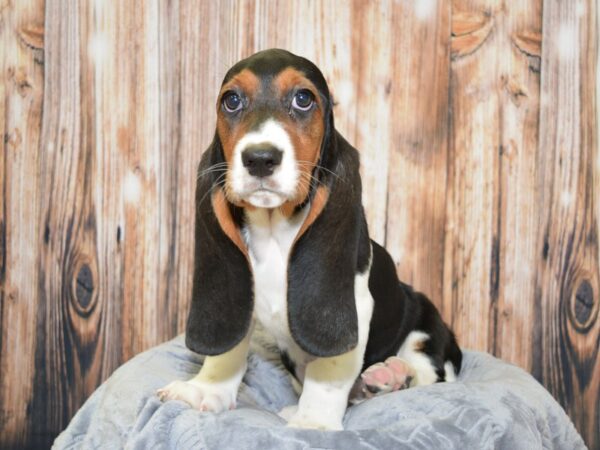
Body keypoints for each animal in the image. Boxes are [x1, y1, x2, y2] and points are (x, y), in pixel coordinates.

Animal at [157, 47, 462, 430]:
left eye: (303, 99)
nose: (260, 158)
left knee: (429, 372)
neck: (274, 232)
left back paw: (391, 375)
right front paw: (205, 388)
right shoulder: (242, 295)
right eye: (231, 101)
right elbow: (229, 349)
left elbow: (329, 371)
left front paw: (313, 421)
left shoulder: (356, 305)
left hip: (425, 321)